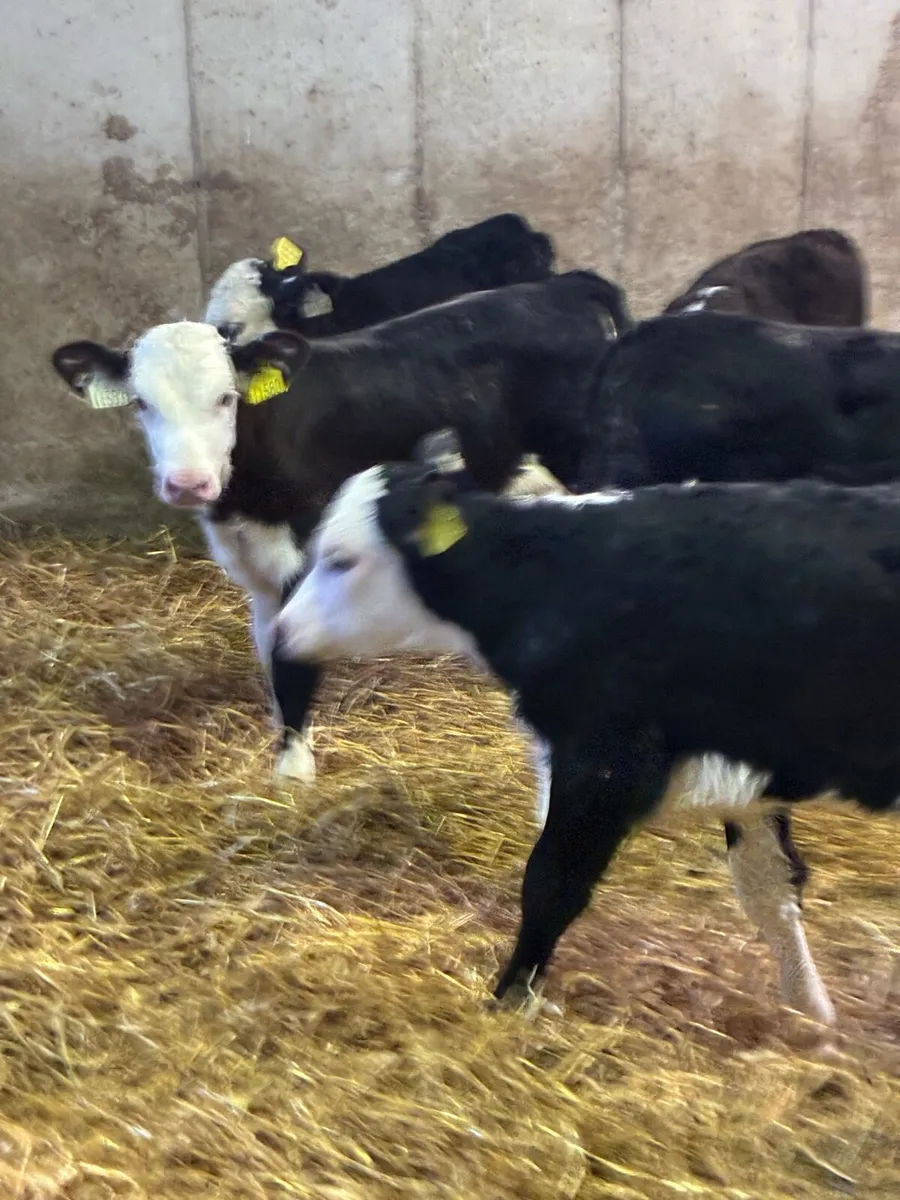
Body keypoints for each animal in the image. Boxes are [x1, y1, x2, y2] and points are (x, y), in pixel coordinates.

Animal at [51, 271, 617, 783]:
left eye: (226, 398)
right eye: (142, 403)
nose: (188, 484)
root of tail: (566, 287)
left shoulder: (301, 554)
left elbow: (290, 656)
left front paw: (293, 774)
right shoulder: (255, 569)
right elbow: (271, 648)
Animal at [273, 430, 900, 1026]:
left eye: (341, 560)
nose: (279, 632)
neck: (557, 578)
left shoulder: (606, 760)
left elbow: (551, 883)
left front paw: (510, 1003)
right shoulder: (741, 759)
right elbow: (769, 885)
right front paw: (808, 1017)